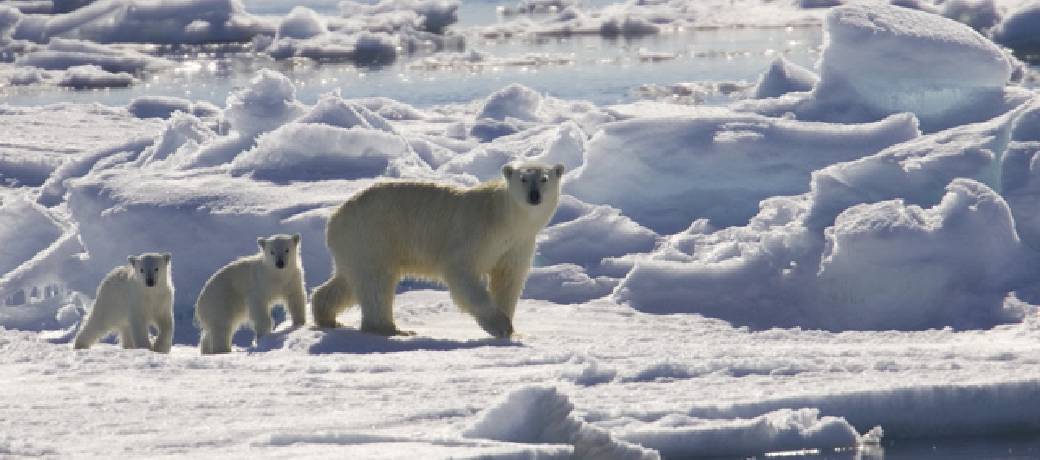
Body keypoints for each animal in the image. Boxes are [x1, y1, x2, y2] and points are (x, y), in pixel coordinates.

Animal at [311, 162, 565, 338]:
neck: (505, 218)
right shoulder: (475, 234)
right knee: (376, 282)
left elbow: (508, 278)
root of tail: (334, 217)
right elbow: (462, 275)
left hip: (357, 244)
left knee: (350, 281)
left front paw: (509, 326)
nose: (534, 196)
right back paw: (391, 329)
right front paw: (499, 324)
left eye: (544, 178)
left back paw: (328, 317)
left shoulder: (518, 243)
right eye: (523, 178)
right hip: (372, 234)